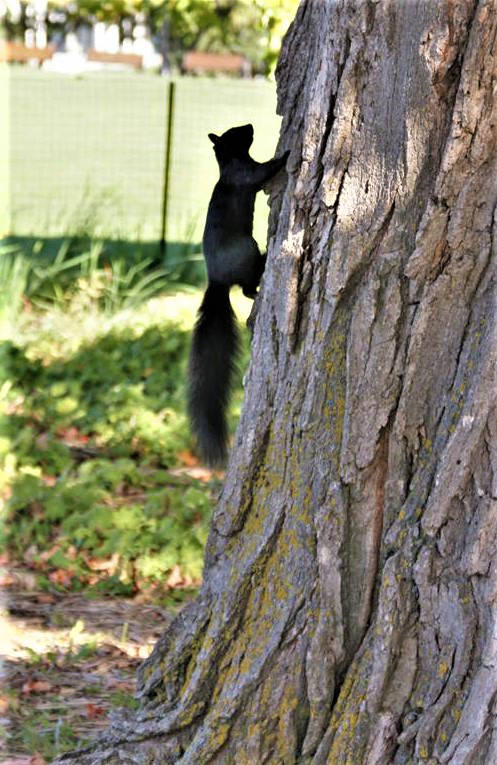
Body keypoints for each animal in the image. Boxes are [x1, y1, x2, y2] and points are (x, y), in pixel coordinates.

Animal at [187, 124, 288, 466]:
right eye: (235, 132)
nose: (250, 125)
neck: (230, 163)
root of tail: (216, 281)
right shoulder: (245, 175)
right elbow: (264, 172)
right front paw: (286, 155)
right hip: (247, 251)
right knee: (244, 289)